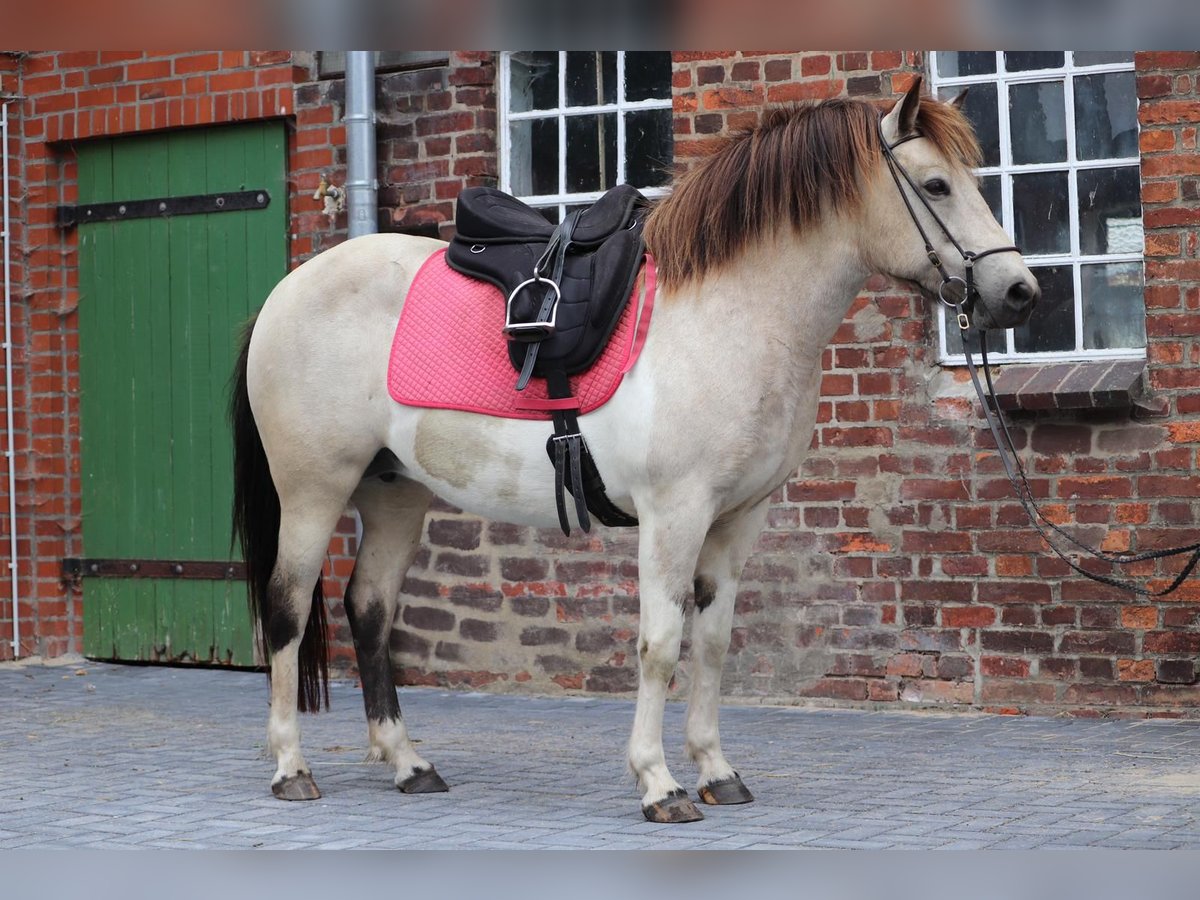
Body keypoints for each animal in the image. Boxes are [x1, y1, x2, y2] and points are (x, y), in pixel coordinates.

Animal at [231, 81, 1041, 830]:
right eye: (935, 185)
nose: (1019, 291)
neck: (727, 316)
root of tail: (286, 291)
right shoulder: (673, 513)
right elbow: (659, 643)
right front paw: (659, 784)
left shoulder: (738, 518)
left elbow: (711, 643)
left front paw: (716, 771)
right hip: (313, 491)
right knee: (287, 609)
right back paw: (291, 767)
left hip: (394, 492)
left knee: (369, 608)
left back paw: (407, 763)